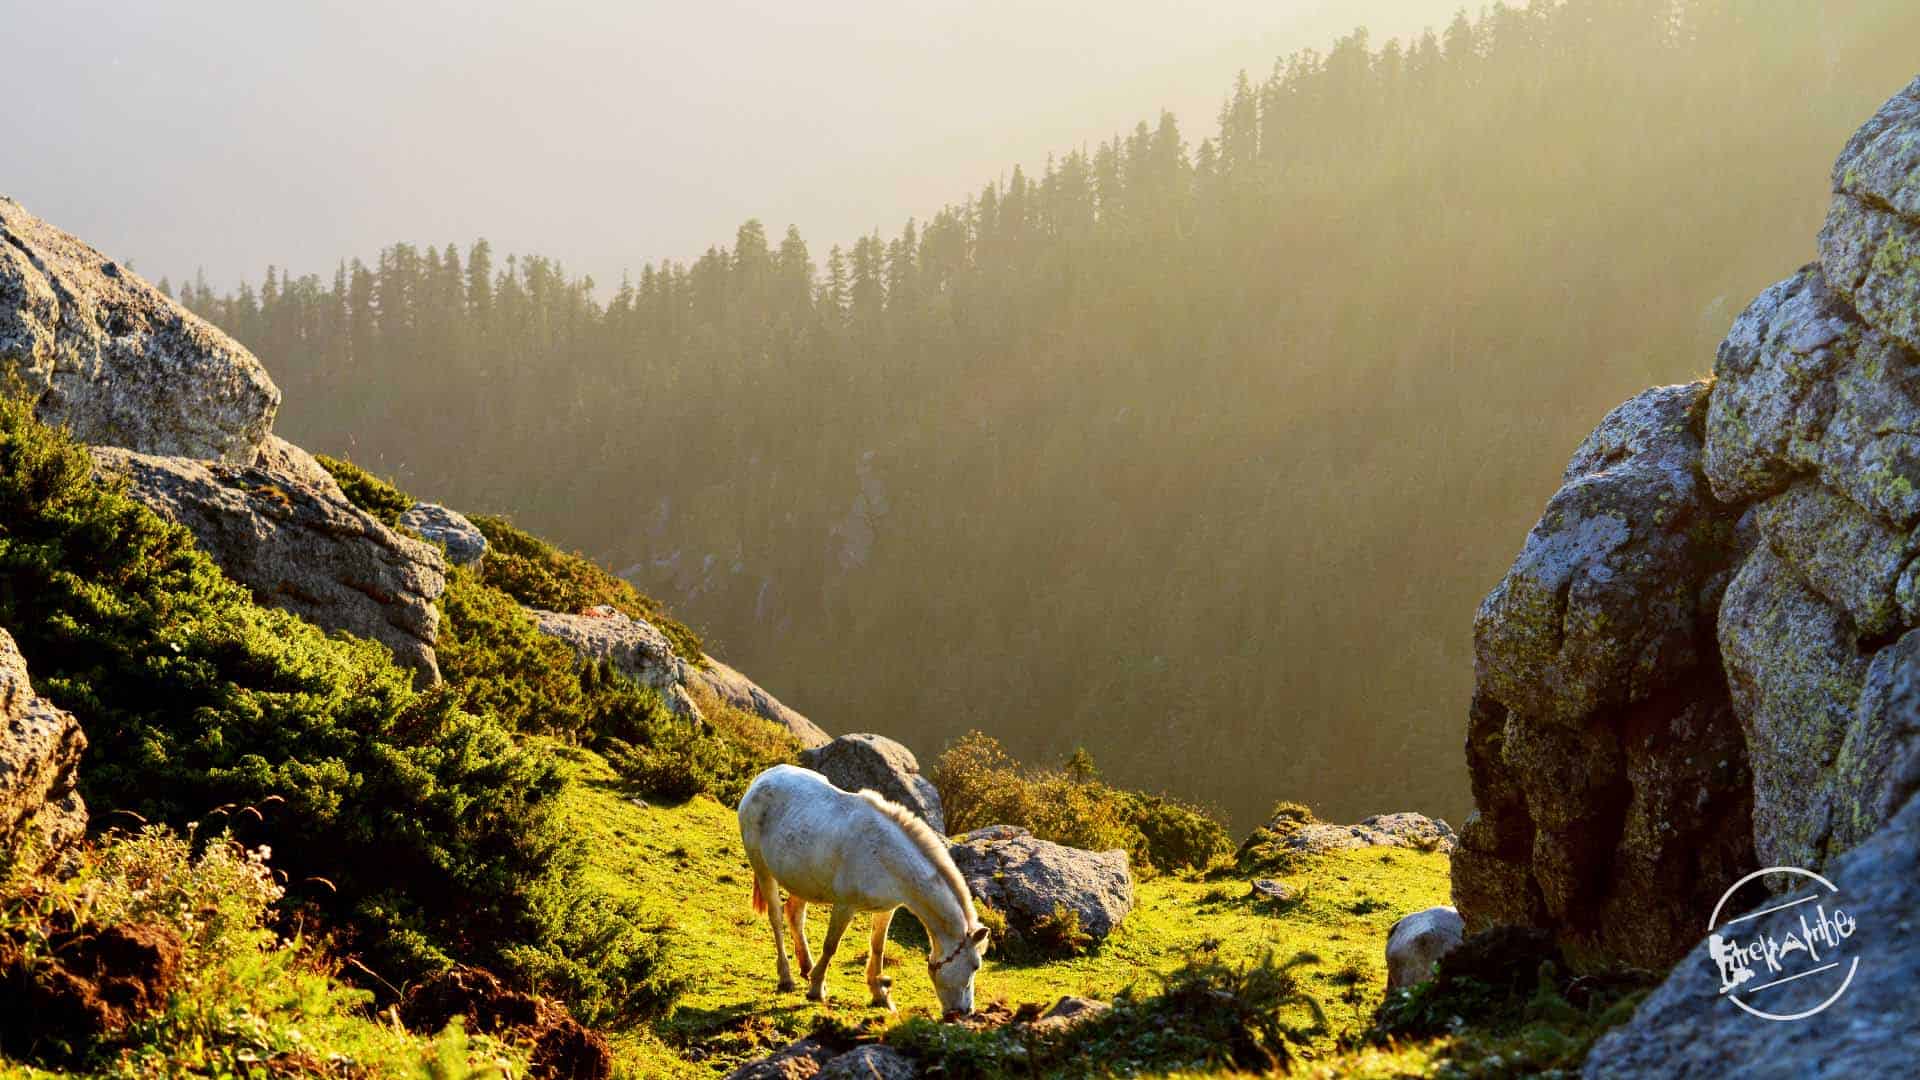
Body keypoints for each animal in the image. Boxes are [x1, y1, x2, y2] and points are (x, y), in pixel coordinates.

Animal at [733, 757, 990, 1006]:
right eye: (975, 966)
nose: (965, 1011)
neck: (885, 854)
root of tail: (763, 778)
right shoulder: (845, 906)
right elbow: (831, 945)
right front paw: (816, 989)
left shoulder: (886, 909)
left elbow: (877, 946)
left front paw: (879, 993)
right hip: (763, 869)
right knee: (776, 918)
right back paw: (786, 978)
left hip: (801, 878)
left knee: (795, 914)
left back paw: (806, 967)